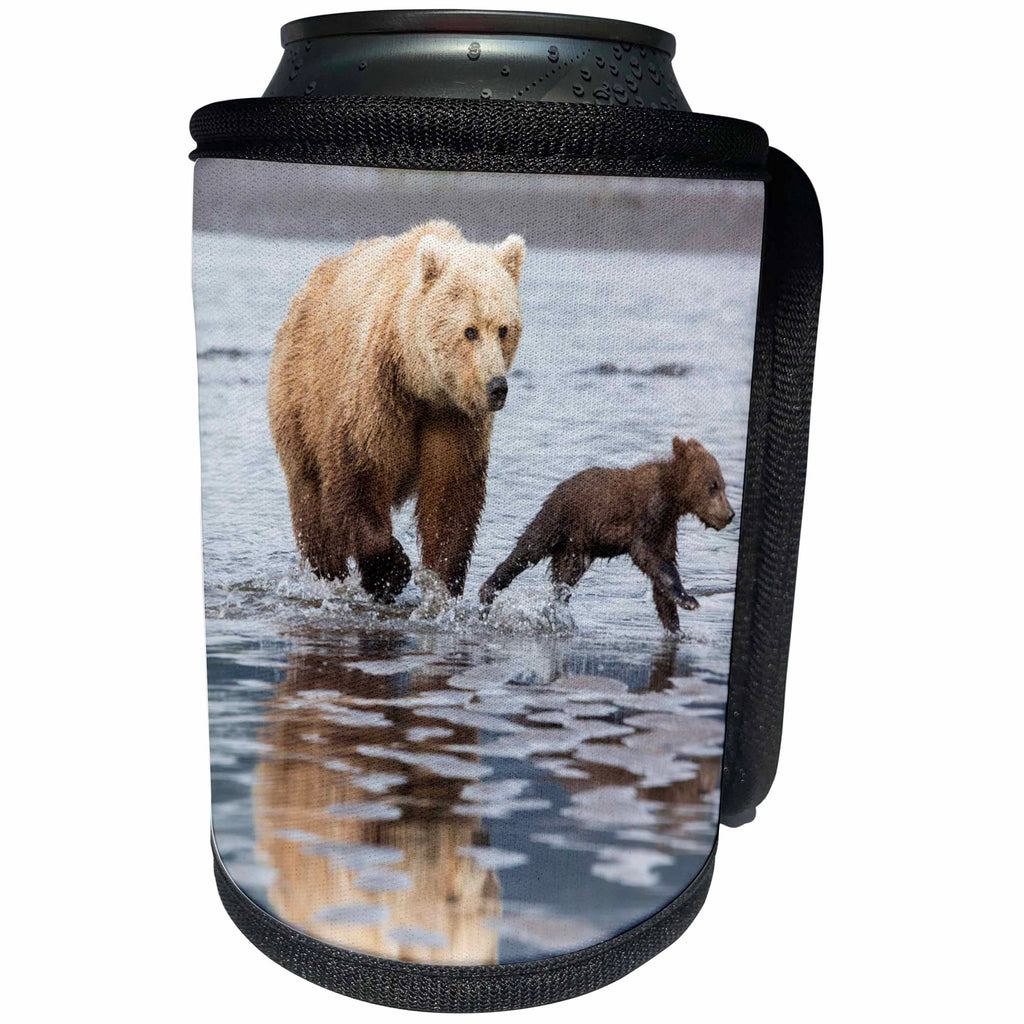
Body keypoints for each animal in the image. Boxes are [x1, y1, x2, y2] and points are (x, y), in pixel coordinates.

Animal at [268, 220, 525, 602]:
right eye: (470, 331)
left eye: (504, 329)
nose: (496, 387)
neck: (421, 384)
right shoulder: (377, 399)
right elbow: (356, 475)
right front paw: (390, 572)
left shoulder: (456, 421)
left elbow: (451, 499)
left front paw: (442, 581)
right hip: (300, 397)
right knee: (312, 505)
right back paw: (329, 575)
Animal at [479, 437, 734, 632]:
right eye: (713, 485)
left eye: (723, 484)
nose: (730, 514)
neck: (672, 499)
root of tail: (558, 488)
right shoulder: (646, 514)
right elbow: (651, 558)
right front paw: (689, 600)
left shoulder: (666, 528)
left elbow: (661, 571)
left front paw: (676, 627)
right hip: (559, 517)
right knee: (528, 549)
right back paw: (488, 592)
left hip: (576, 549)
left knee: (564, 579)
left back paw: (555, 608)